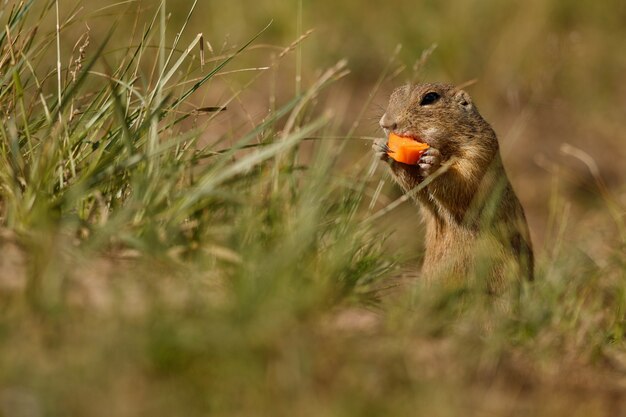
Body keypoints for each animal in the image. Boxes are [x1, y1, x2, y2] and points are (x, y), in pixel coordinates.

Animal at [372, 81, 532, 290]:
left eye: (430, 98)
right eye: (393, 95)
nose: (386, 123)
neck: (446, 147)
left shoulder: (478, 153)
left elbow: (464, 185)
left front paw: (433, 162)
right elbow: (418, 188)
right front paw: (380, 147)